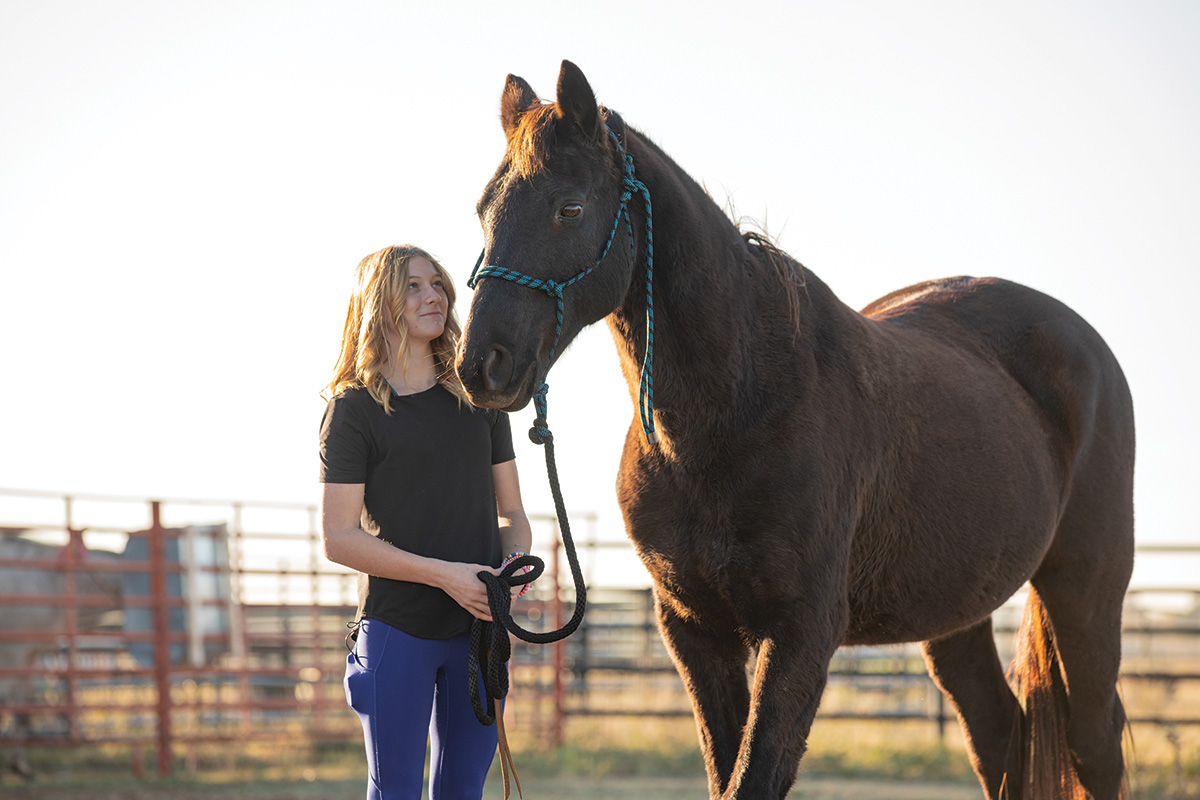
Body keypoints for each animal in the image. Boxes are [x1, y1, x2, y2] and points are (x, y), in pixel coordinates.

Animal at [451, 62, 1132, 800]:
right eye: (485, 210)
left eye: (569, 208)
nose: (481, 365)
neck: (732, 416)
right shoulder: (694, 628)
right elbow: (726, 769)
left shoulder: (802, 629)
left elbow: (754, 774)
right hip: (957, 611)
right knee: (998, 735)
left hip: (1084, 588)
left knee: (1094, 744)